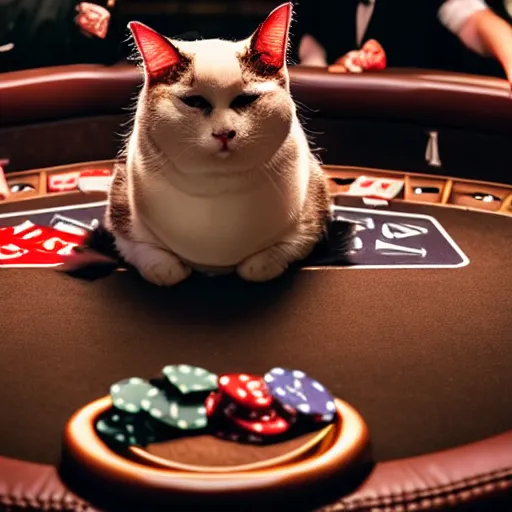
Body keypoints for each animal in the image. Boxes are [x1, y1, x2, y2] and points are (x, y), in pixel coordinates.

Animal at [107, 2, 332, 286]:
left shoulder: (312, 214)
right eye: (194, 102)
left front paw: (261, 264)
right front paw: (167, 268)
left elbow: (268, 259)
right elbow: (147, 254)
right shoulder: (121, 207)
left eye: (246, 99)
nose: (224, 133)